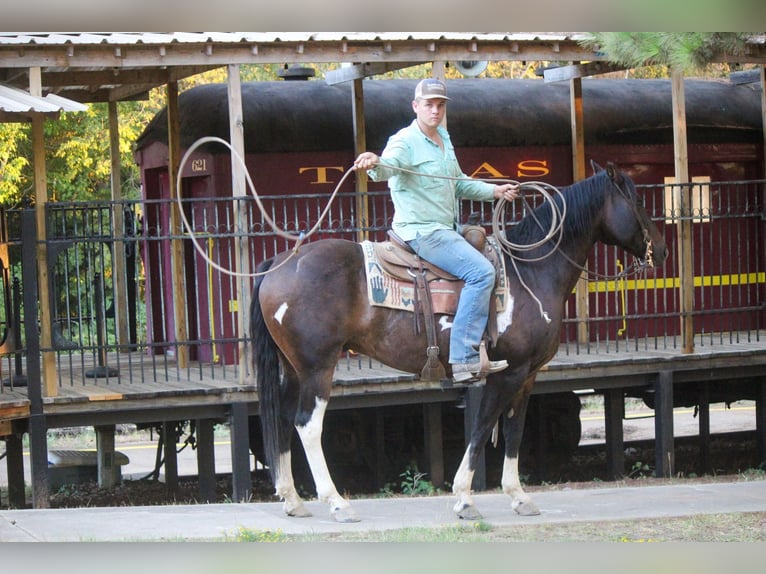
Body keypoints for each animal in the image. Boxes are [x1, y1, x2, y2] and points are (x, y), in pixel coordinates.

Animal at [250, 161, 664, 520]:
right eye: (637, 202)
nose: (659, 248)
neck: (529, 272)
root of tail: (279, 262)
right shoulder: (508, 373)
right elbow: (482, 430)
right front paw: (465, 498)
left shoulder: (528, 375)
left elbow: (514, 431)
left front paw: (519, 497)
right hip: (318, 368)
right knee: (307, 425)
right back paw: (337, 503)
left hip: (293, 370)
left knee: (283, 421)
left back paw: (293, 500)